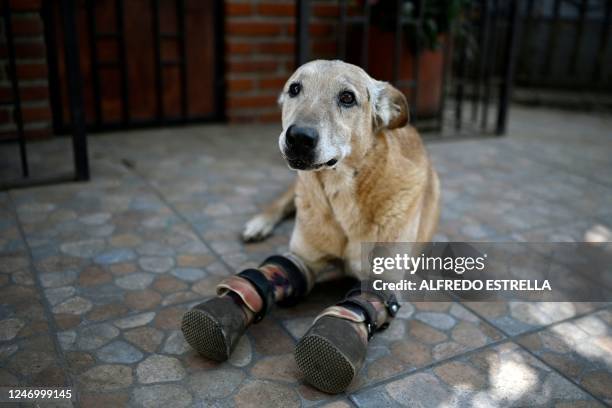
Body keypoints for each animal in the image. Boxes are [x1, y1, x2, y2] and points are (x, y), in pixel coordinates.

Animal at [241, 59, 438, 280]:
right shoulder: (301, 260)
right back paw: (258, 224)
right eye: (294, 89)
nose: (298, 137)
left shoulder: (385, 280)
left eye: (347, 97)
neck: (339, 190)